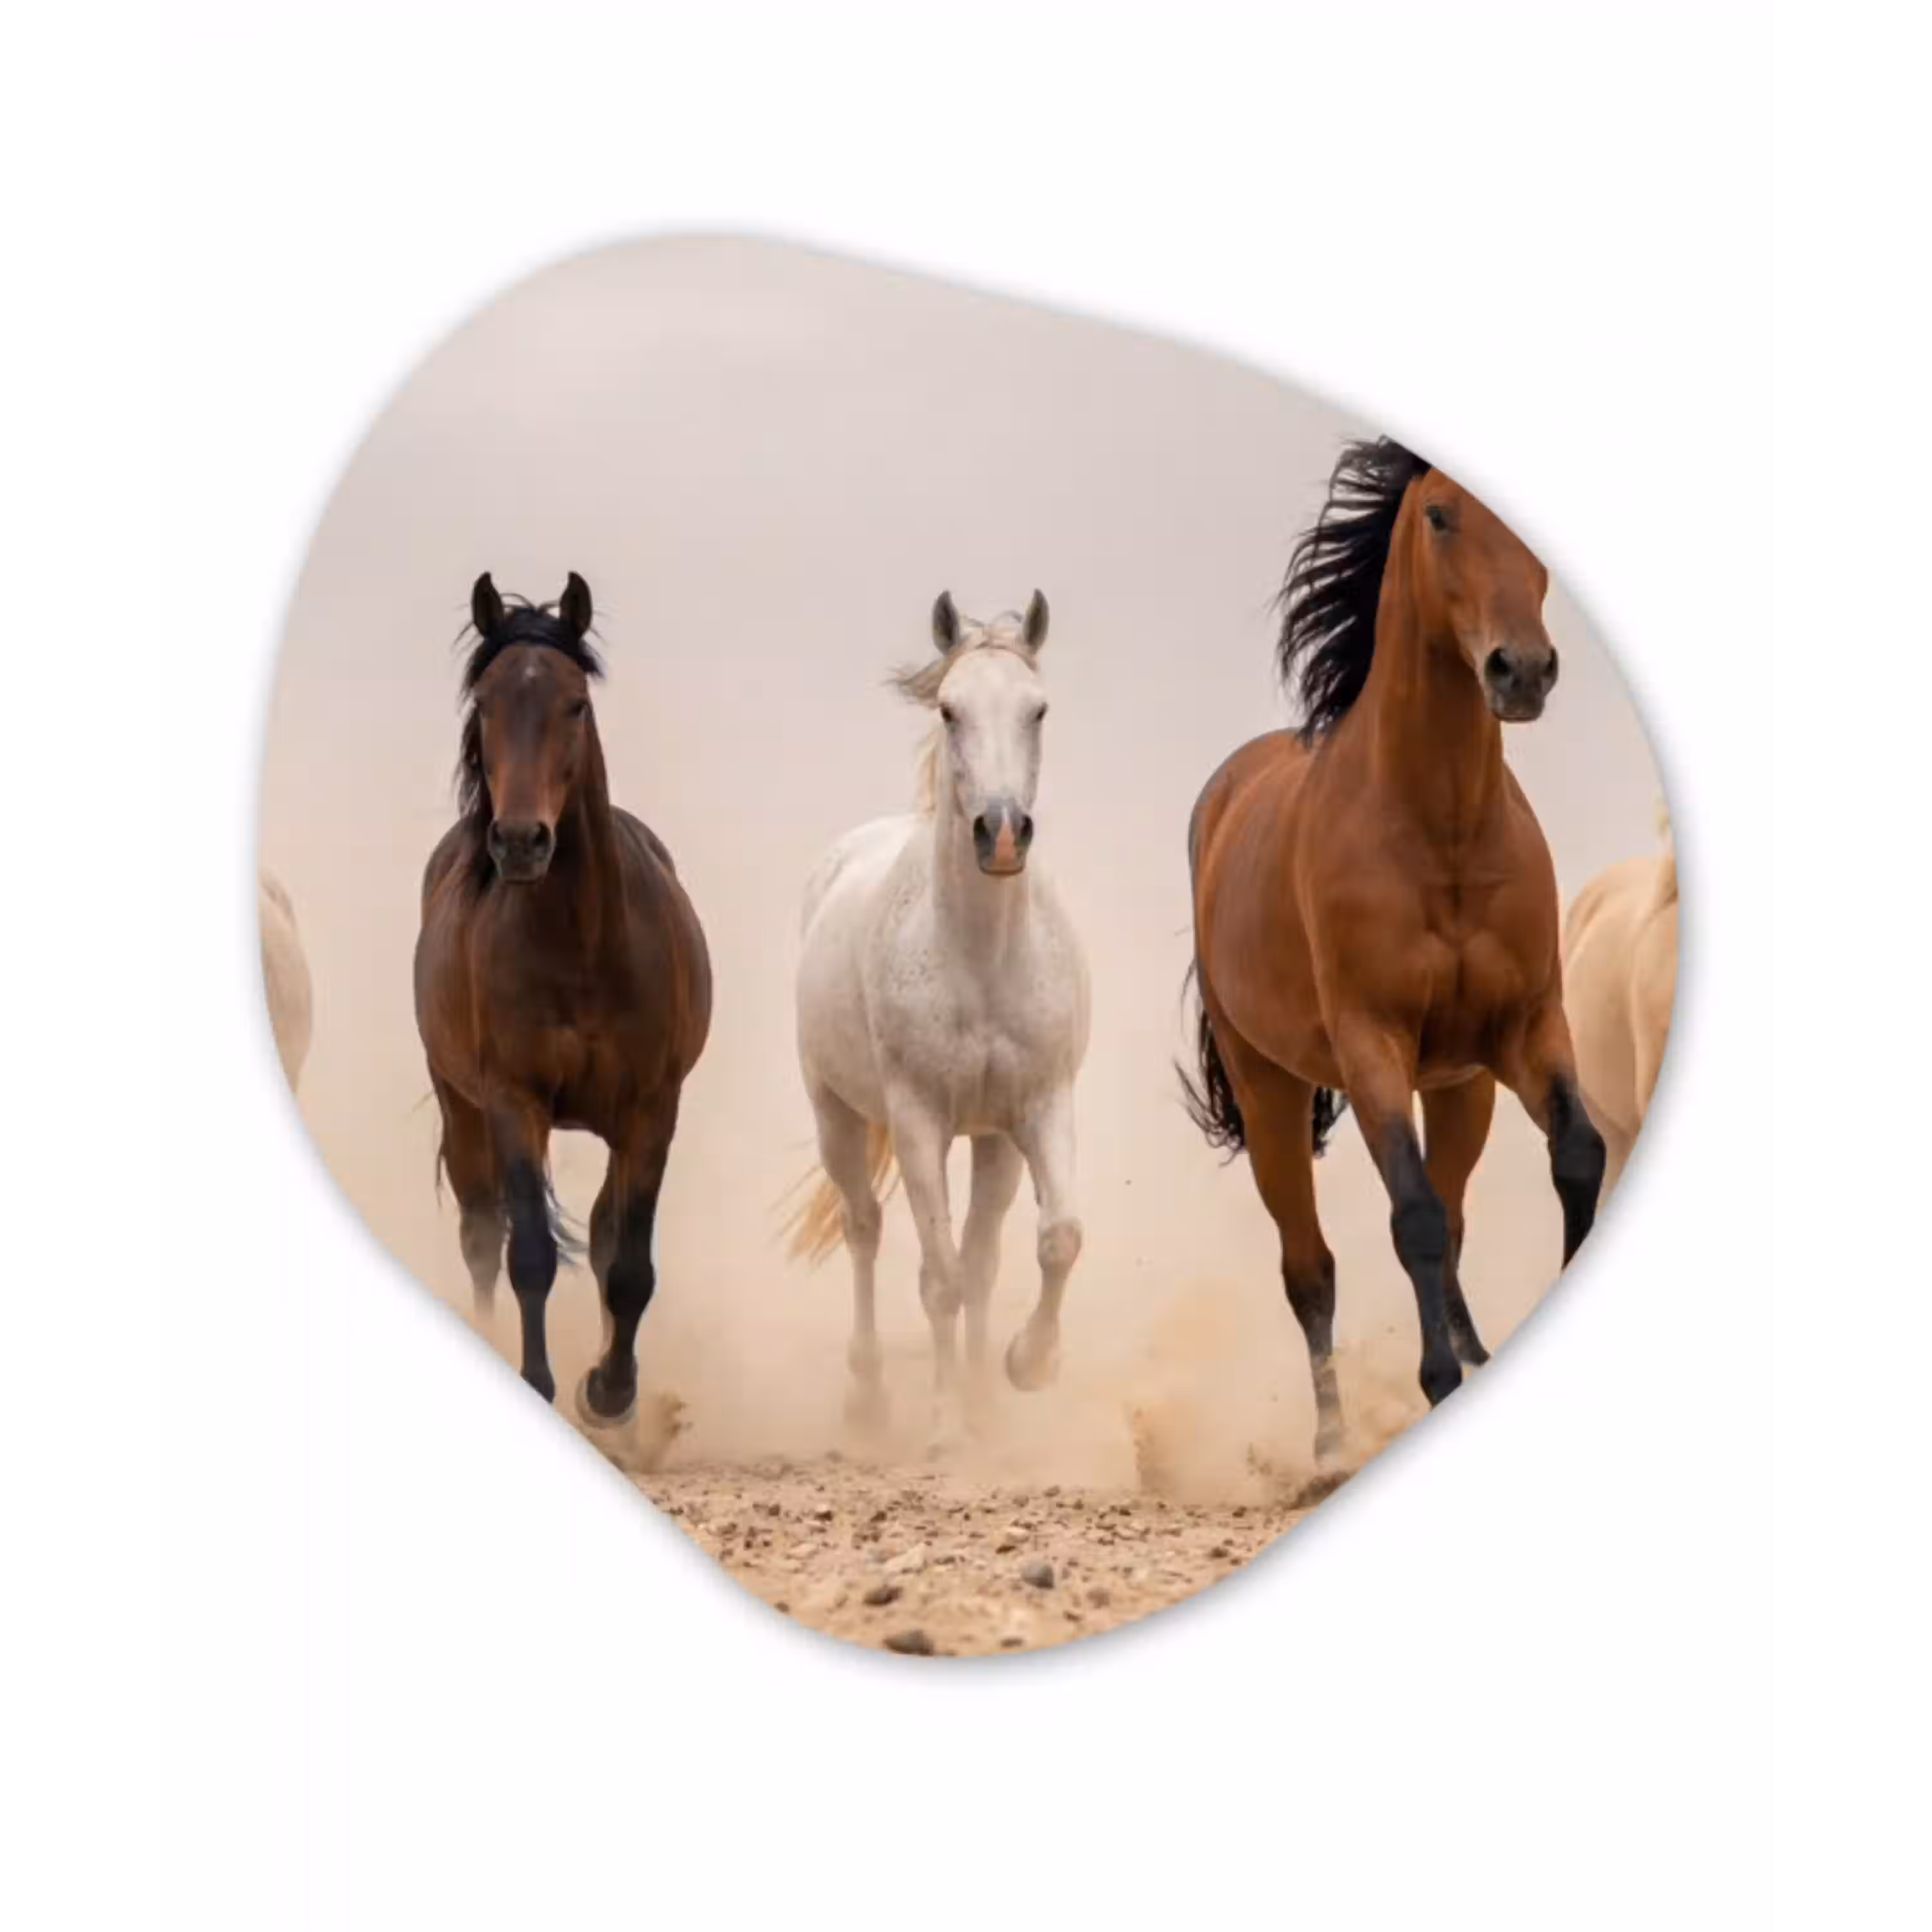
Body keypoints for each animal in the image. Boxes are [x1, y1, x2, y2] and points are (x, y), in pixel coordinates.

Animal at [414, 571, 712, 1427]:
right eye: (485, 702)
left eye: (575, 703)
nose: (520, 842)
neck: (582, 947)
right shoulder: (513, 1103)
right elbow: (531, 1256)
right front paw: (540, 1384)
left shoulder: (651, 1109)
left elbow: (629, 1262)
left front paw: (610, 1392)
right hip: (460, 1104)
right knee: (483, 1235)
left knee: (608, 1233)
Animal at [785, 591, 1090, 1438]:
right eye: (951, 711)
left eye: (1038, 709)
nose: (1003, 833)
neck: (981, 960)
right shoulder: (919, 1121)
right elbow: (940, 1278)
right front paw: (948, 1423)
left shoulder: (1036, 1110)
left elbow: (1054, 1242)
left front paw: (1024, 1369)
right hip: (839, 1117)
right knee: (864, 1229)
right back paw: (868, 1397)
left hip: (989, 1143)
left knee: (984, 1258)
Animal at [1183, 437, 1605, 1469]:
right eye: (1442, 516)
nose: (1521, 671)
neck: (1441, 830)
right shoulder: (1371, 1044)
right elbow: (1408, 1216)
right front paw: (1437, 1384)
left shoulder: (1524, 1029)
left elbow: (1576, 1156)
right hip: (1271, 1091)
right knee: (1311, 1267)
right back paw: (1334, 1444)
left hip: (1460, 1088)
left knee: (1452, 1220)